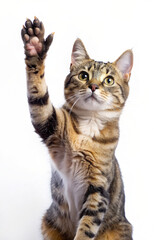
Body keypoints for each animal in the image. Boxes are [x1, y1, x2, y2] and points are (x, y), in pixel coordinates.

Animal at [21, 17, 134, 240]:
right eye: (83, 76)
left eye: (109, 80)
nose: (93, 86)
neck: (89, 125)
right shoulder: (48, 123)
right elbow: (38, 95)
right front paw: (35, 46)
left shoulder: (97, 187)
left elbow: (88, 224)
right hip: (48, 222)